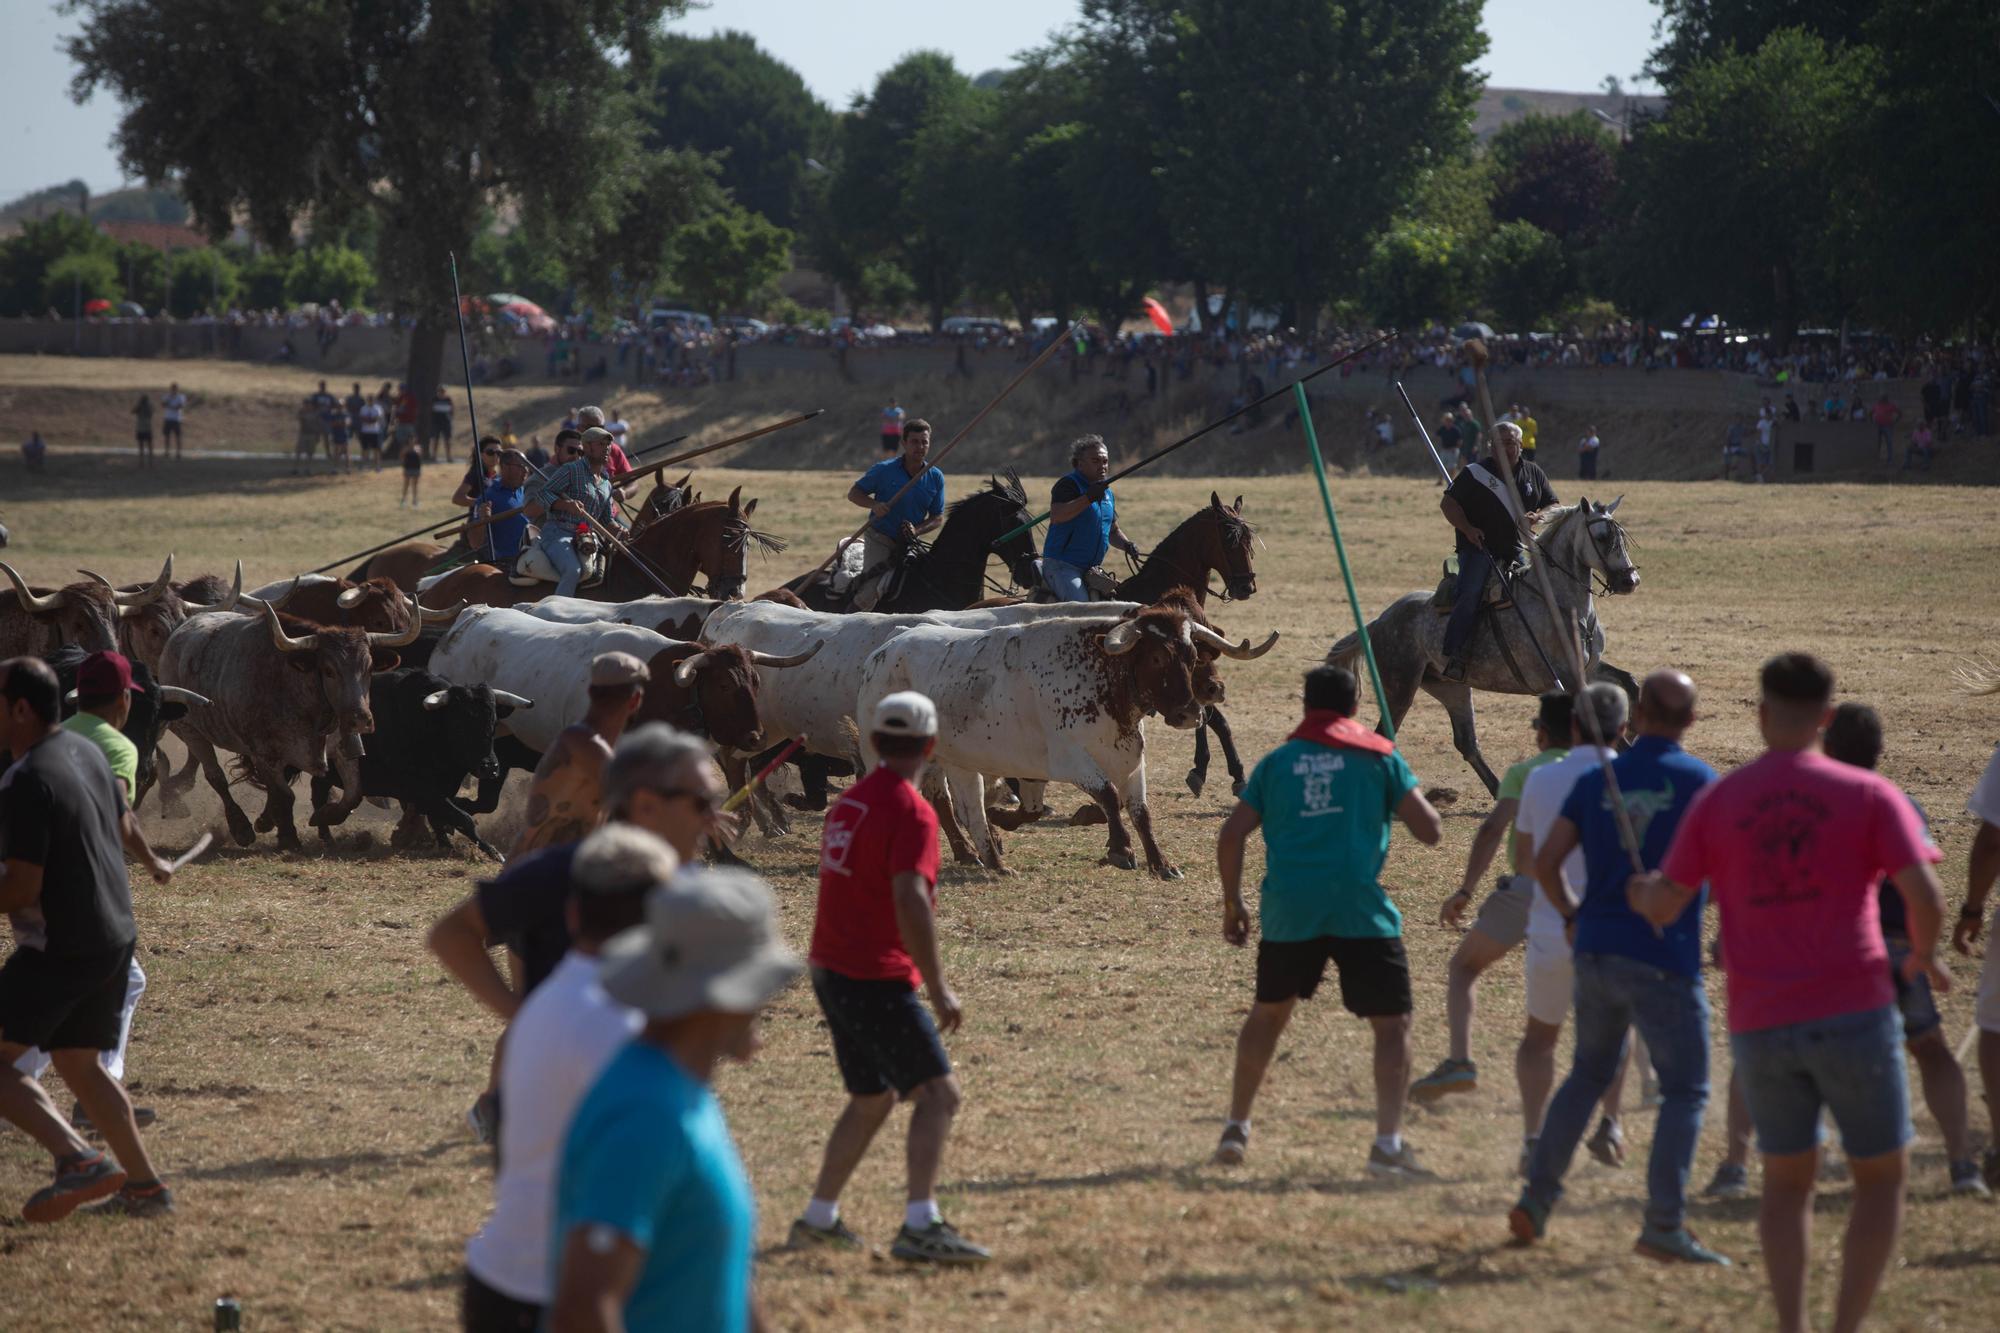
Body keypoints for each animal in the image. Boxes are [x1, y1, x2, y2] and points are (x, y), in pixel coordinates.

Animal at [1328, 496, 1640, 788]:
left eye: (1622, 537)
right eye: (1602, 537)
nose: (1630, 580)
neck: (1560, 603)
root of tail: (1380, 620)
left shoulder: (1588, 668)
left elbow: (1630, 682)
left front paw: (1635, 730)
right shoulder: (1566, 677)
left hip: (1451, 689)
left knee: (1467, 744)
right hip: (1399, 688)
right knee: (1385, 735)